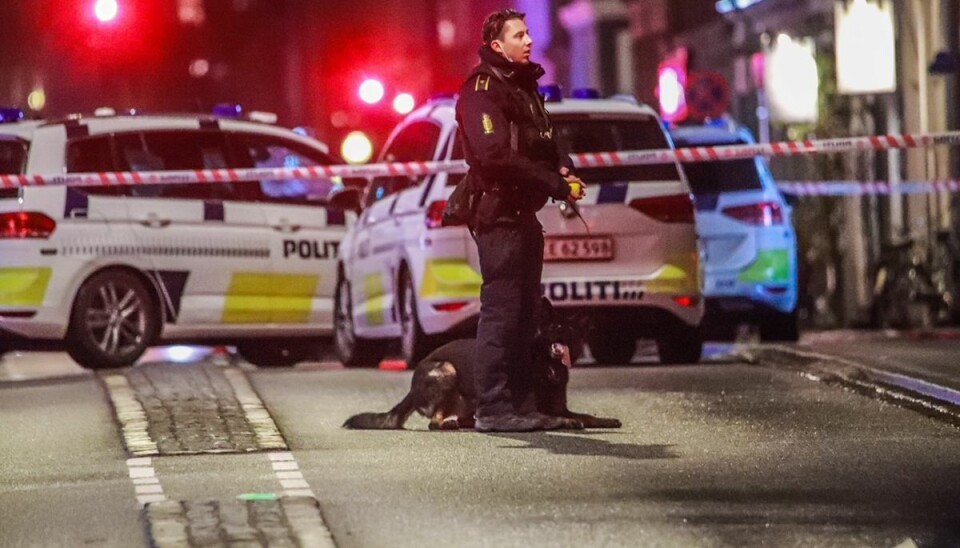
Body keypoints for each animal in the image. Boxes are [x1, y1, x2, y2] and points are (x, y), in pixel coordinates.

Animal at [344, 300, 624, 432]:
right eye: (554, 327)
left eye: (571, 331)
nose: (561, 336)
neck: (544, 363)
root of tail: (411, 390)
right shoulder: (534, 410)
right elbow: (551, 417)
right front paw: (565, 423)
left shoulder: (560, 405)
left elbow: (586, 416)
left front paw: (605, 420)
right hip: (447, 369)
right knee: (434, 421)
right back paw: (448, 424)